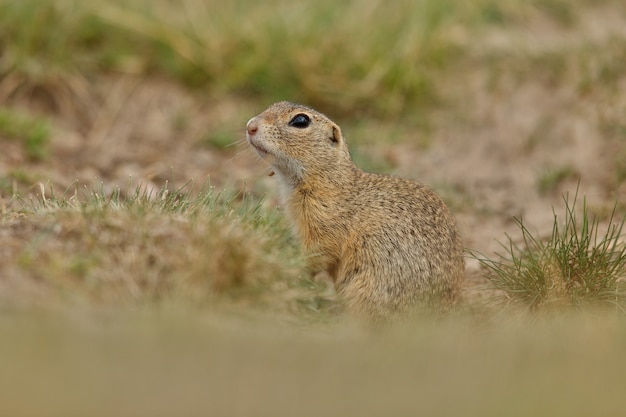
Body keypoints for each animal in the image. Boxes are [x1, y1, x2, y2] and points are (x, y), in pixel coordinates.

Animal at [246, 101, 460, 322]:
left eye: (300, 121)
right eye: (274, 105)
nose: (250, 126)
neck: (329, 178)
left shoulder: (324, 226)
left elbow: (319, 254)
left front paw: (294, 268)